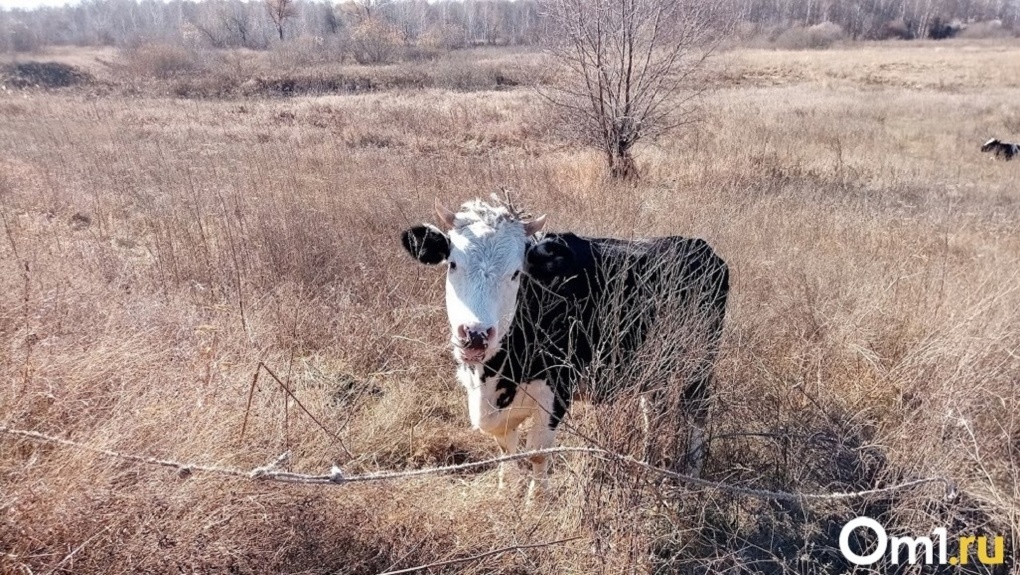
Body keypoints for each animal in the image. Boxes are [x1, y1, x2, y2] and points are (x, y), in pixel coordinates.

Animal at [401, 197, 730, 493]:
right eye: (453, 264)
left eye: (516, 273)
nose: (476, 334)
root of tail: (700, 247)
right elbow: (505, 445)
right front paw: (505, 491)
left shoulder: (558, 387)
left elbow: (537, 452)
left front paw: (536, 504)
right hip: (654, 365)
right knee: (655, 410)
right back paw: (646, 464)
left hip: (701, 360)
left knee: (697, 409)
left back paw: (692, 473)